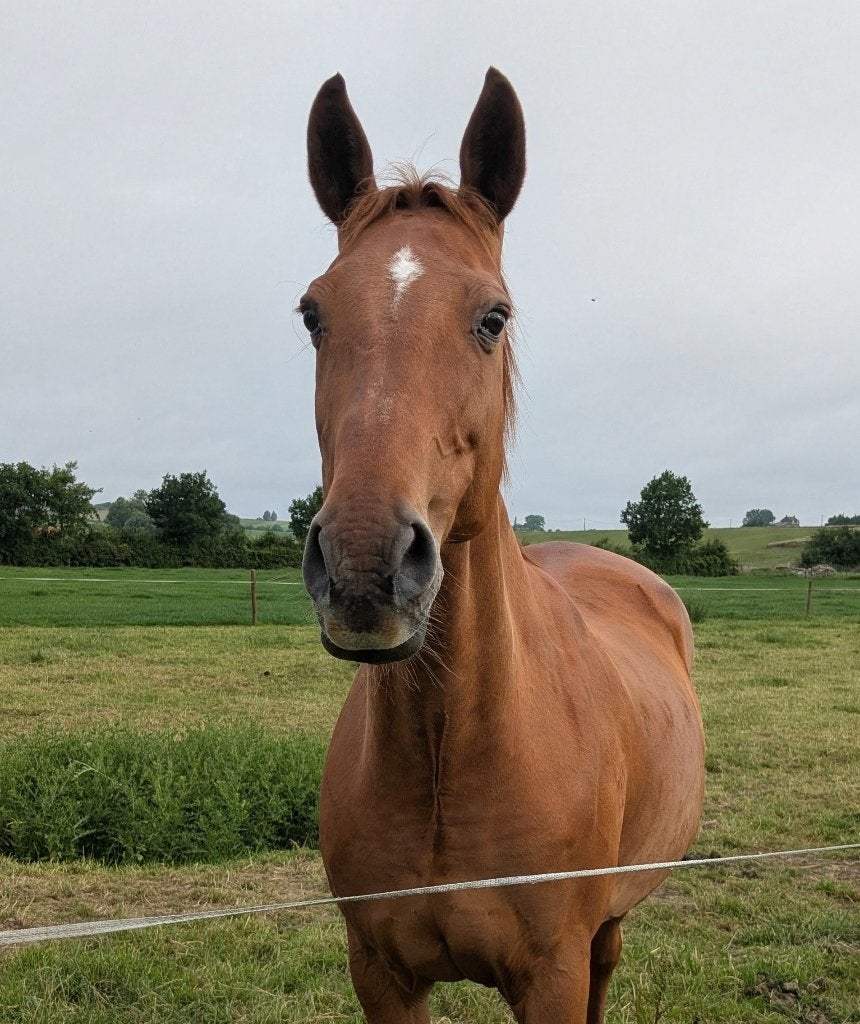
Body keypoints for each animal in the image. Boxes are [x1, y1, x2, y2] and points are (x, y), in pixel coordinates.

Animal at [299, 68, 705, 1024]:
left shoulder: (551, 973)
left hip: (607, 926)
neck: (451, 751)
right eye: (311, 314)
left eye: (493, 317)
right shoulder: (379, 973)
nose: (365, 565)